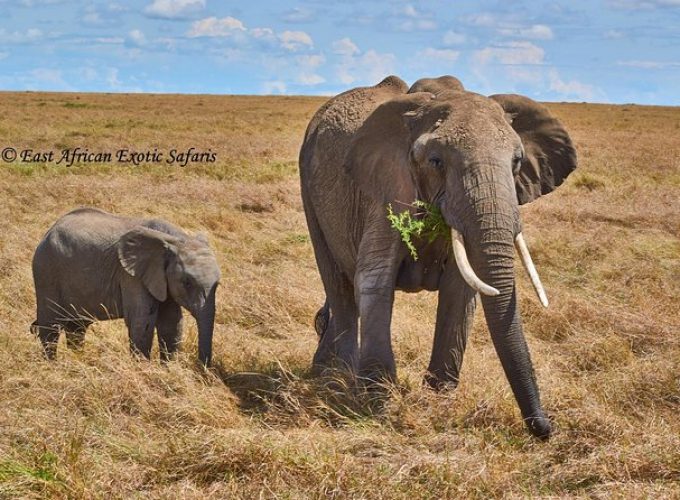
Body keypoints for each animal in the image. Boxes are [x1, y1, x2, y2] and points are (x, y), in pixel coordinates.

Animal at [31, 205, 220, 366]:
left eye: (217, 284)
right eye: (187, 282)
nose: (201, 369)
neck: (176, 240)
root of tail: (50, 230)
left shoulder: (162, 279)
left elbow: (171, 323)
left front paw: (168, 369)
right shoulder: (132, 276)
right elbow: (142, 320)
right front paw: (144, 371)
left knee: (76, 327)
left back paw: (78, 359)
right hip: (46, 271)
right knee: (50, 327)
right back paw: (53, 365)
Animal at [300, 74, 576, 438]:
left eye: (517, 162)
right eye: (436, 161)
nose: (546, 428)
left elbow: (461, 290)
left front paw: (438, 399)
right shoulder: (386, 189)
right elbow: (374, 278)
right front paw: (379, 402)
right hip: (308, 183)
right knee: (338, 284)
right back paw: (337, 377)